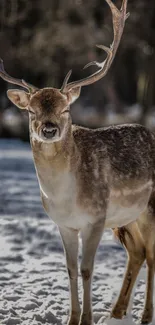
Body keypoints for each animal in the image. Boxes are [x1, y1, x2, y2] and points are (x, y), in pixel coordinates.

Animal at [0, 0, 155, 322]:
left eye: (66, 109)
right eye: (31, 111)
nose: (49, 129)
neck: (66, 197)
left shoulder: (95, 218)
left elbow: (86, 269)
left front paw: (86, 319)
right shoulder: (64, 224)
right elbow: (70, 269)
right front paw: (72, 318)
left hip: (149, 207)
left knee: (152, 254)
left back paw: (145, 316)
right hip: (128, 219)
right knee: (138, 253)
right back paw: (117, 313)